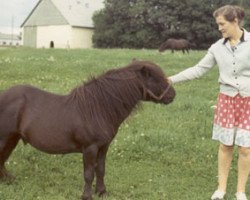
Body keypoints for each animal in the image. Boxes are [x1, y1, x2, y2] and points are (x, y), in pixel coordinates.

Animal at [0, 59, 176, 200]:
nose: (173, 95)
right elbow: (89, 173)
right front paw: (87, 195)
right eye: (156, 78)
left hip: (12, 139)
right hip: (5, 138)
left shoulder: (104, 147)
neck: (98, 108)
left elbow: (101, 169)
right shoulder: (90, 148)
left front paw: (102, 192)